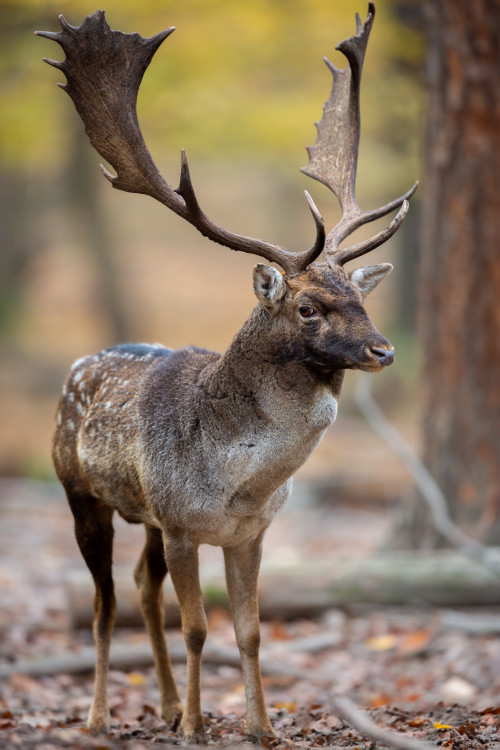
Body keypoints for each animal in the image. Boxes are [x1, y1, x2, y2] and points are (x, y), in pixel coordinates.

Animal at [37, 2, 416, 748]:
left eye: (361, 297)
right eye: (308, 306)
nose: (383, 351)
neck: (240, 485)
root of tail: (77, 367)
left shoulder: (248, 534)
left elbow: (248, 632)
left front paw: (259, 728)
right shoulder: (185, 524)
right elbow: (197, 628)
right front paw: (197, 728)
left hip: (146, 516)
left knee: (142, 587)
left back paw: (160, 704)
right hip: (79, 491)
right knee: (104, 602)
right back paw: (100, 716)